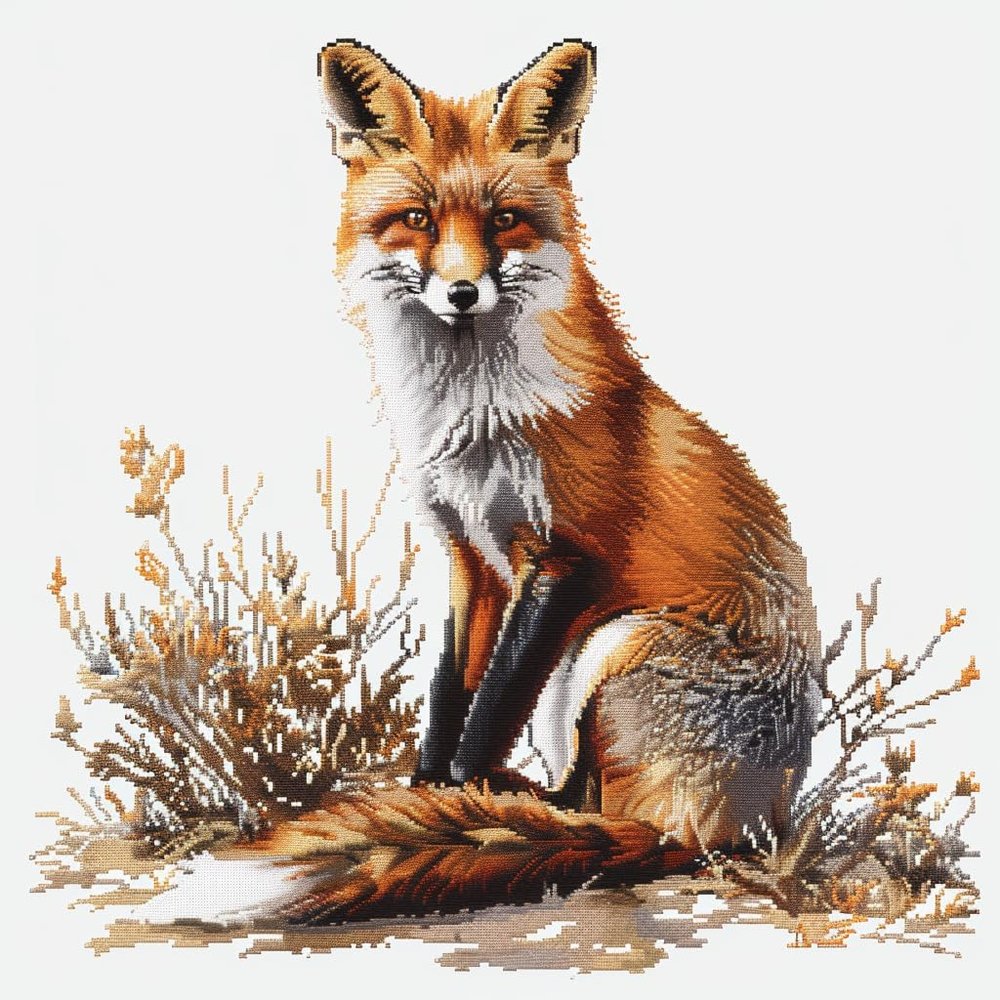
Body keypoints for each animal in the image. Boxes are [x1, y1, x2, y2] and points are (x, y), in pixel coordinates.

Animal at [255, 39, 823, 924]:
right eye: (418, 220)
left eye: (503, 220)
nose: (461, 291)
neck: (473, 422)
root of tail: (742, 824)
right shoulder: (472, 557)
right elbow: (452, 695)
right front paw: (428, 789)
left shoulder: (564, 557)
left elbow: (489, 708)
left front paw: (448, 804)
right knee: (580, 805)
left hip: (613, 645)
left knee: (597, 816)